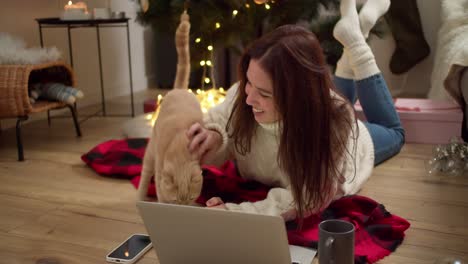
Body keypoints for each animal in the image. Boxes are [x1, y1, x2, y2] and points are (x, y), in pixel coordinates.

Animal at [135, 10, 203, 204]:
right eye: (176, 201)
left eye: (190, 199)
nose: (186, 206)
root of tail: (179, 89)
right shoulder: (159, 168)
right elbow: (159, 192)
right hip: (150, 152)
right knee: (144, 175)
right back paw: (140, 197)